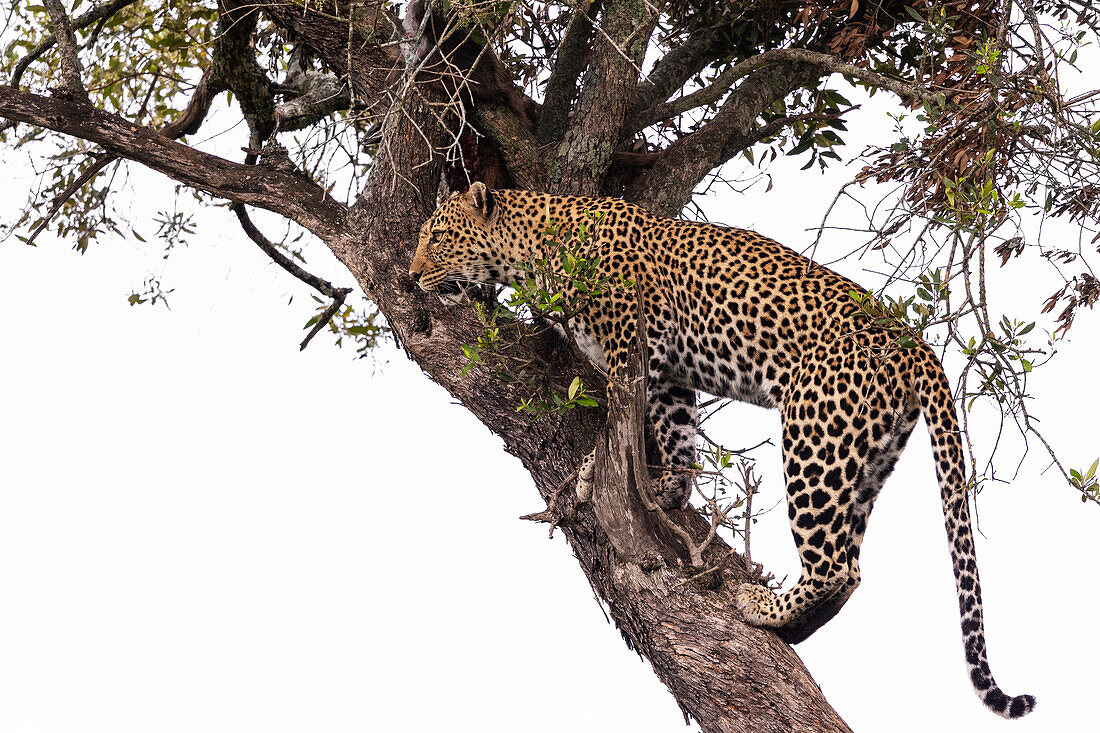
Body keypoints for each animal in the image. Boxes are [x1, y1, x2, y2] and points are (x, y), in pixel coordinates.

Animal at [413, 179, 1038, 717]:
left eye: (438, 236)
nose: (414, 274)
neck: (532, 244)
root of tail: (917, 345)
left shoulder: (628, 353)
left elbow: (616, 420)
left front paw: (591, 472)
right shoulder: (667, 376)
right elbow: (675, 432)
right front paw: (668, 486)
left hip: (814, 438)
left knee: (833, 564)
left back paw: (759, 607)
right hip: (866, 456)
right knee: (853, 565)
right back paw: (790, 626)